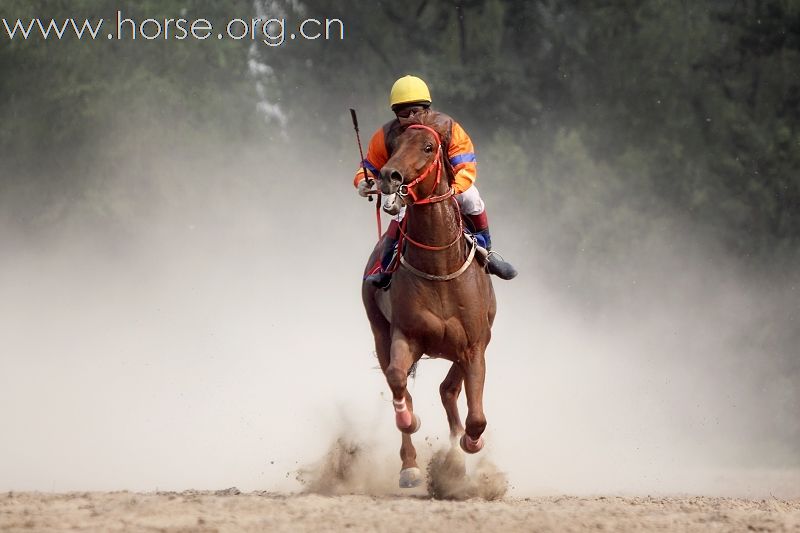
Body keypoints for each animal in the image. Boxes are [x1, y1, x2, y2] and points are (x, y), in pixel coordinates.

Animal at [360, 111, 496, 486]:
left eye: (428, 146)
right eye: (393, 145)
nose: (389, 175)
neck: (439, 266)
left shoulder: (474, 344)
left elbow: (476, 416)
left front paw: (469, 443)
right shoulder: (405, 336)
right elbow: (397, 380)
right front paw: (411, 421)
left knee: (448, 390)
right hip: (379, 331)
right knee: (402, 384)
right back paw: (410, 465)